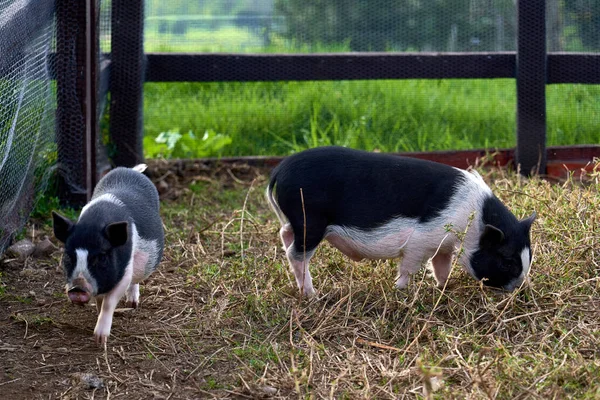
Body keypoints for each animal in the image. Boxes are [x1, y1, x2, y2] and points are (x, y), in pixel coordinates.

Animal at [51, 163, 163, 344]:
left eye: (101, 257)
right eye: (68, 256)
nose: (77, 287)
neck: (94, 223)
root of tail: (131, 170)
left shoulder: (124, 272)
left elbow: (109, 302)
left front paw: (100, 340)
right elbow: (99, 300)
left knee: (136, 280)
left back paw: (133, 304)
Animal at [268, 147, 536, 296]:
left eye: (528, 256)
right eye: (507, 261)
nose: (520, 287)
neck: (474, 219)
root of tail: (280, 170)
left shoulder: (443, 245)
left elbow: (441, 266)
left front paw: (443, 287)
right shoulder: (421, 241)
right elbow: (409, 267)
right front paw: (400, 290)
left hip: (298, 221)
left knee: (285, 234)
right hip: (311, 219)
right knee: (296, 253)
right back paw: (313, 295)